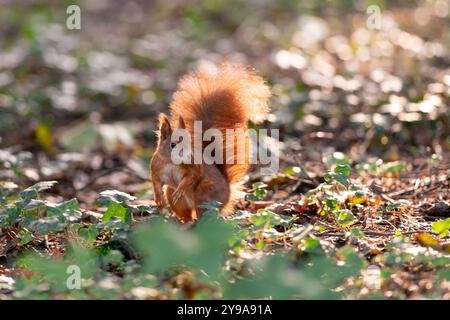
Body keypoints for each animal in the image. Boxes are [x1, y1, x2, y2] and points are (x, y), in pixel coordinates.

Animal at [151, 63, 270, 222]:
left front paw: (181, 187)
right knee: (186, 213)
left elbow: (193, 175)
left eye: (190, 142)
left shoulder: (193, 167)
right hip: (175, 198)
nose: (188, 156)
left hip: (204, 196)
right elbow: (156, 182)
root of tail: (228, 191)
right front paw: (158, 199)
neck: (171, 162)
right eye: (173, 145)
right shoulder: (156, 167)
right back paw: (183, 222)